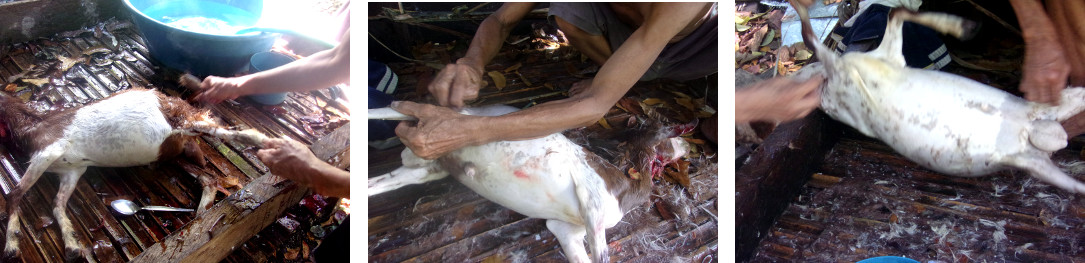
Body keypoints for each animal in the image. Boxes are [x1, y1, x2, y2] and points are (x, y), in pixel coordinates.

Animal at [0, 88, 269, 258]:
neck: (30, 124)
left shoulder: (49, 150)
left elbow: (14, 194)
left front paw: (11, 245)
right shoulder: (73, 170)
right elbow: (57, 204)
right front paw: (72, 245)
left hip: (182, 121)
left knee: (217, 129)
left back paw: (260, 139)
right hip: (172, 152)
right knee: (208, 177)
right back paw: (202, 211)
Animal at [368, 104, 690, 263]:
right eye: (669, 133)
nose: (689, 145)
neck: (627, 188)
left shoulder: (565, 229)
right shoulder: (593, 202)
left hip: (426, 168)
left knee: (375, 184)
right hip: (427, 115)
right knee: (389, 107)